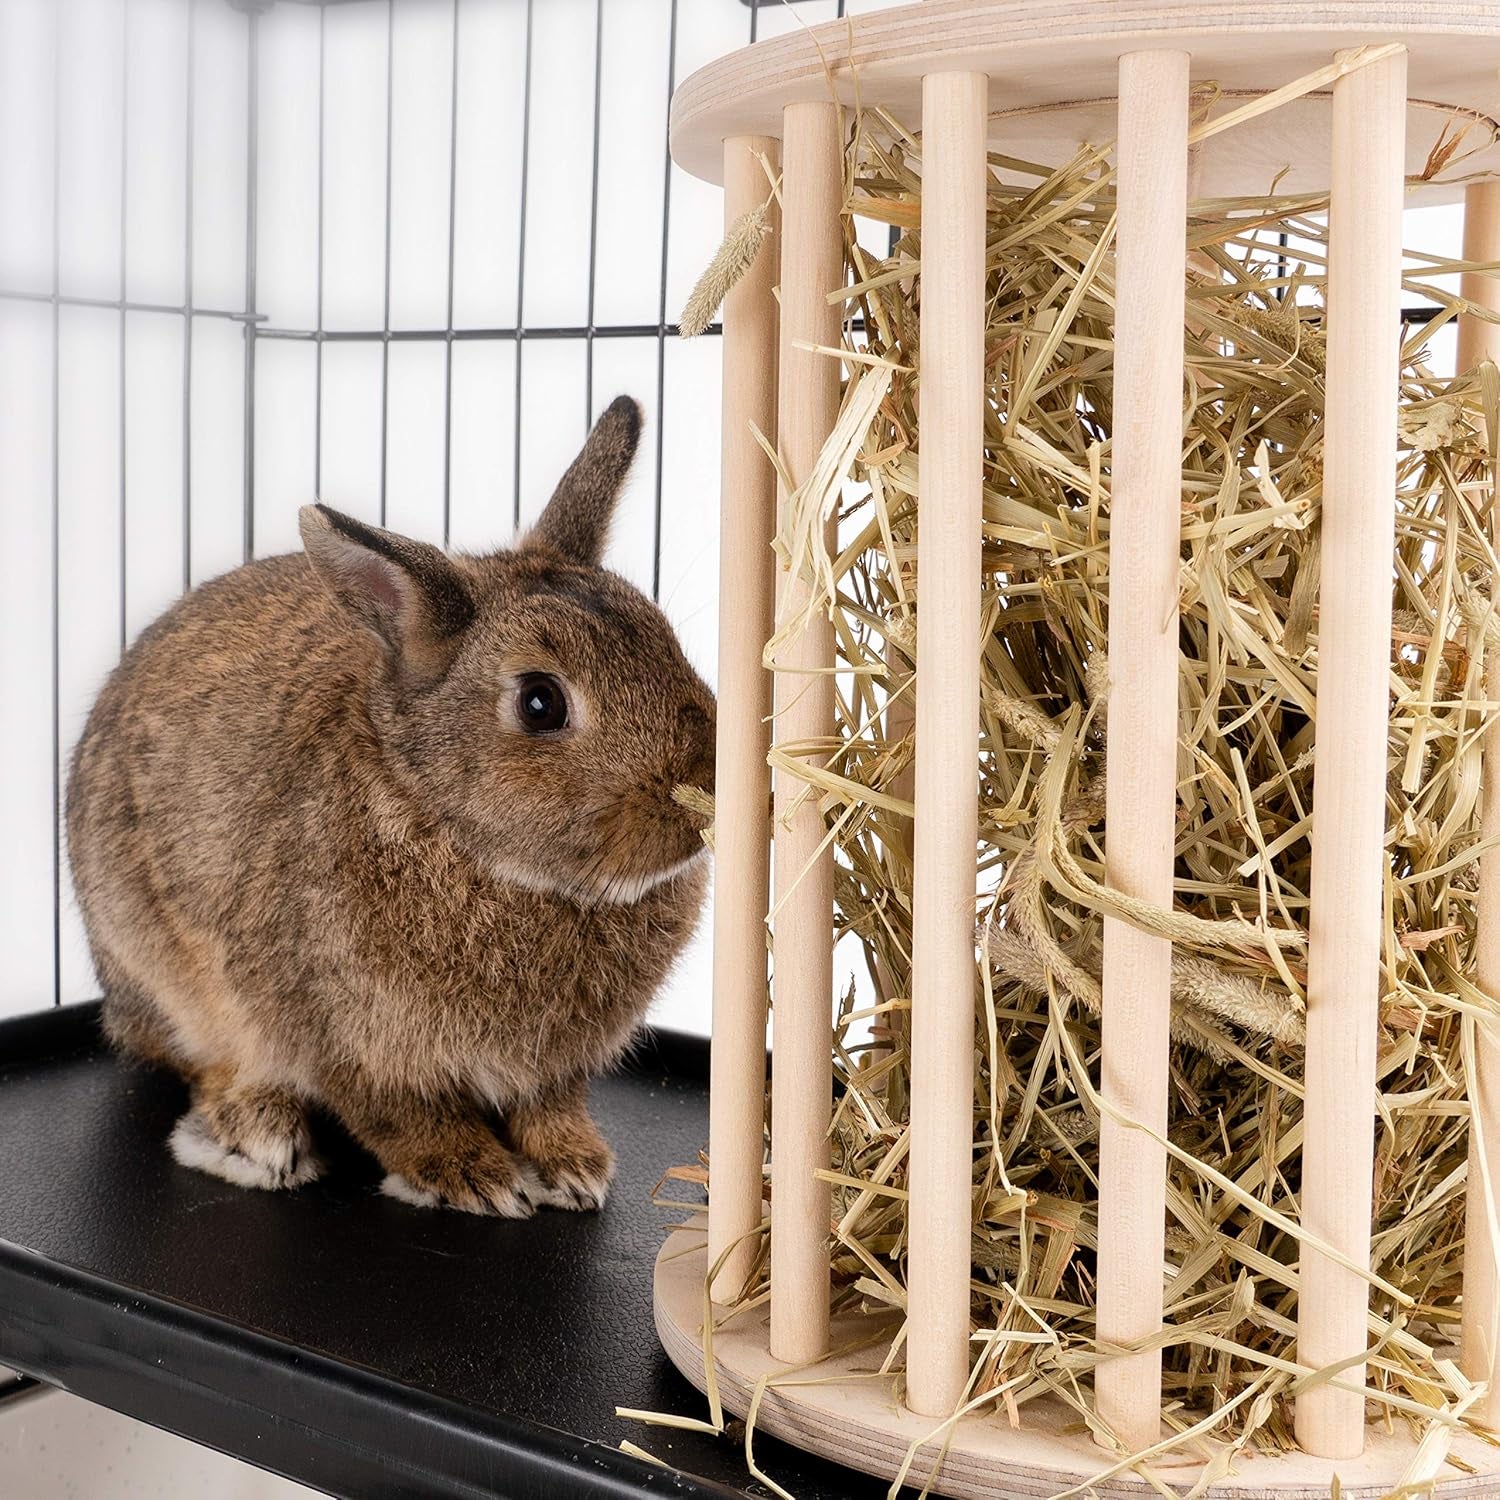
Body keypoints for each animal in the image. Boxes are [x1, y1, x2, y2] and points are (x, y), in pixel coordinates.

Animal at [60, 399, 714, 1218]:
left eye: (669, 643)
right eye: (541, 702)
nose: (704, 798)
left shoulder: (555, 1069)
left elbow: (550, 1108)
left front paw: (575, 1168)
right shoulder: (344, 1039)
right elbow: (400, 1116)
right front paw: (473, 1177)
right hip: (158, 971)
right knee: (202, 1063)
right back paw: (260, 1135)